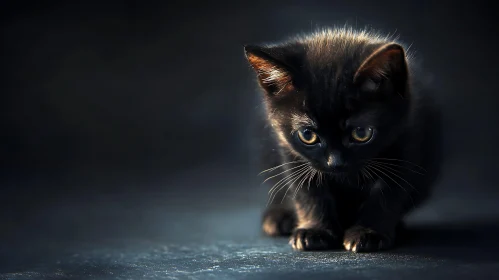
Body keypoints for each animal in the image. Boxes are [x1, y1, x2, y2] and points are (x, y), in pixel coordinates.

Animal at [244, 27, 444, 252]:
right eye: (308, 135)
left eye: (361, 133)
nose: (335, 163)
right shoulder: (291, 152)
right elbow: (308, 191)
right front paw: (315, 230)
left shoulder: (405, 139)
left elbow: (387, 193)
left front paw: (369, 232)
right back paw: (279, 218)